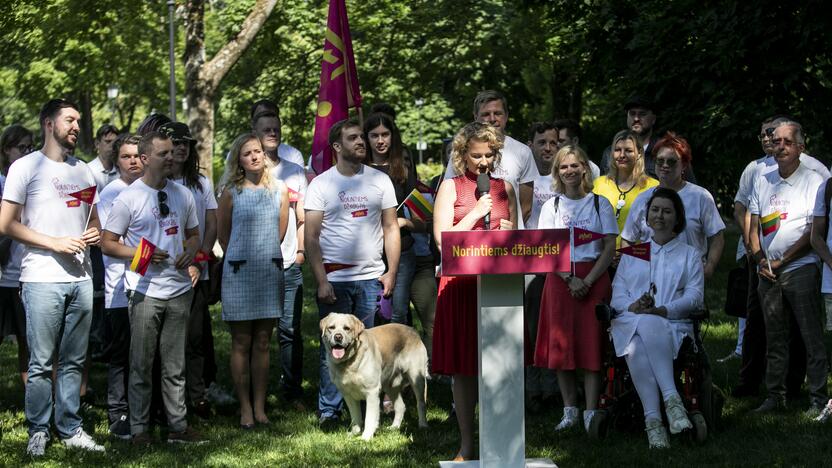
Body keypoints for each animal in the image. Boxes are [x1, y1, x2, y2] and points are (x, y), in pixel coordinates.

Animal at [320, 312, 428, 440]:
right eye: (331, 328)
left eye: (347, 328)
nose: (338, 337)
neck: (349, 363)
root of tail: (413, 330)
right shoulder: (348, 394)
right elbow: (355, 417)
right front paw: (354, 433)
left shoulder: (371, 392)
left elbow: (369, 418)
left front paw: (366, 437)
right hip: (390, 386)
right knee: (400, 406)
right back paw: (394, 427)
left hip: (417, 378)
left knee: (421, 403)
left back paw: (423, 425)